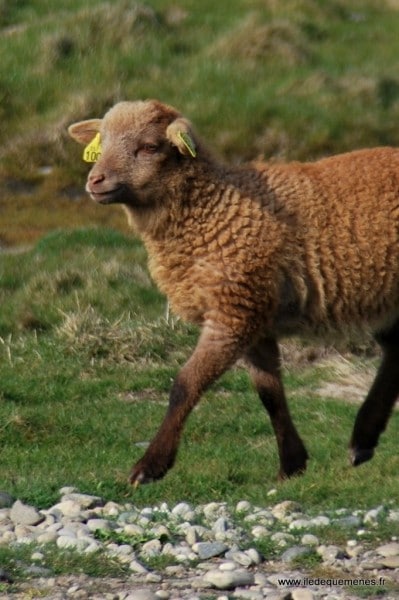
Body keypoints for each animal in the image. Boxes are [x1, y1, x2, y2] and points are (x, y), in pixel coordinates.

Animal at [69, 96, 399, 486]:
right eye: (101, 142)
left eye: (149, 146)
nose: (95, 180)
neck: (213, 208)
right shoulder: (252, 315)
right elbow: (269, 392)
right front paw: (292, 464)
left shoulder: (233, 314)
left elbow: (186, 384)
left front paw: (149, 467)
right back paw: (363, 440)